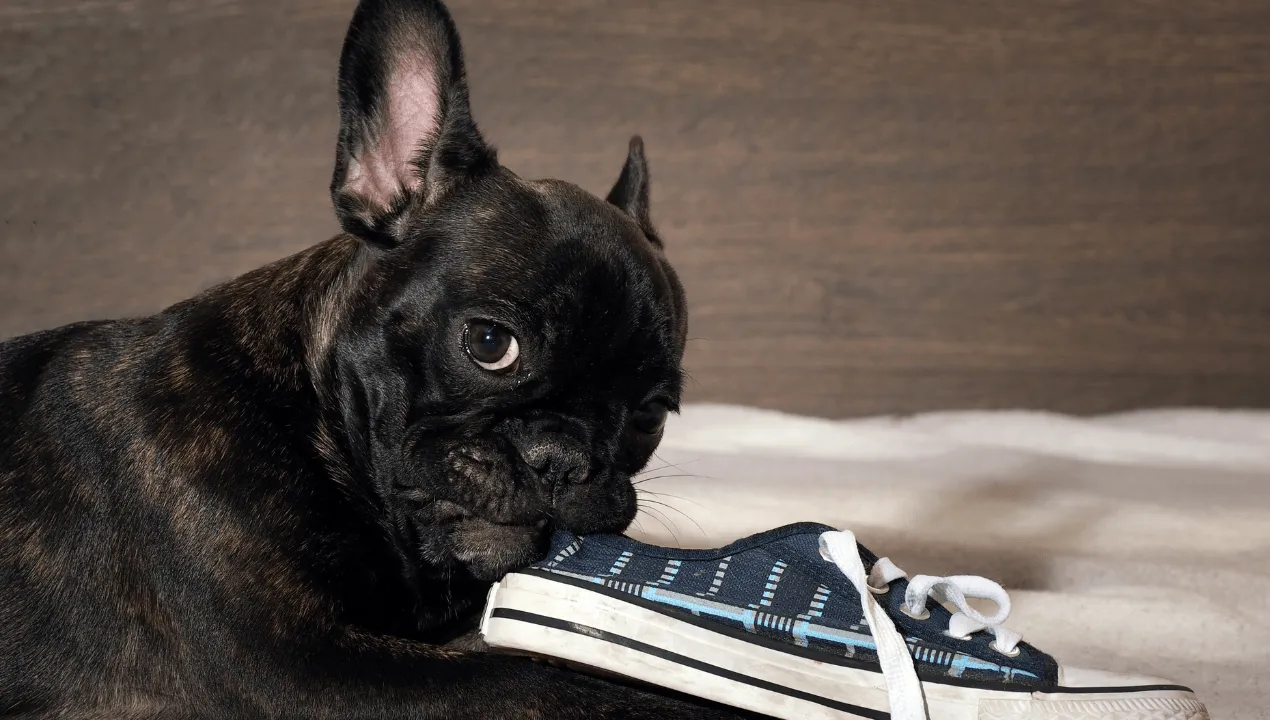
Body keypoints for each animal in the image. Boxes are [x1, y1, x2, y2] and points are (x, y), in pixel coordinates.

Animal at [0, 2, 746, 716]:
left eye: (651, 416)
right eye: (489, 343)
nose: (561, 460)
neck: (312, 412)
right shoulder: (298, 666)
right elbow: (533, 681)